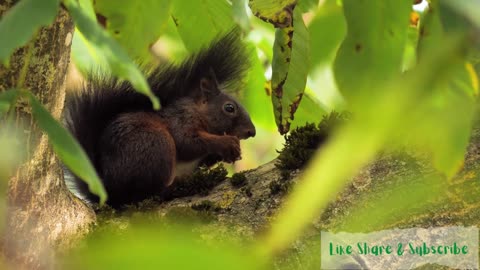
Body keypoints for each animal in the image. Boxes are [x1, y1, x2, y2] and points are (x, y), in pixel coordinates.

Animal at [66, 30, 258, 208]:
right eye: (229, 108)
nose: (251, 132)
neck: (198, 113)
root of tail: (109, 191)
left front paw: (230, 153)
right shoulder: (180, 120)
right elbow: (187, 143)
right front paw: (226, 142)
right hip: (156, 145)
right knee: (147, 193)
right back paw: (174, 188)